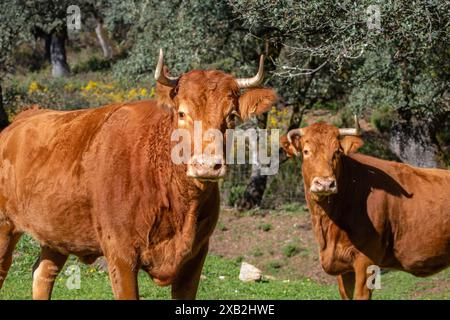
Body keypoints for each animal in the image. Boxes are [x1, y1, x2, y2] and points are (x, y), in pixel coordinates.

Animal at [0, 50, 278, 300]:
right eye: (182, 113)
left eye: (231, 116)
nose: (207, 165)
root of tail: (20, 120)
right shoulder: (121, 255)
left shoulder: (196, 255)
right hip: (5, 227)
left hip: (57, 234)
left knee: (43, 274)